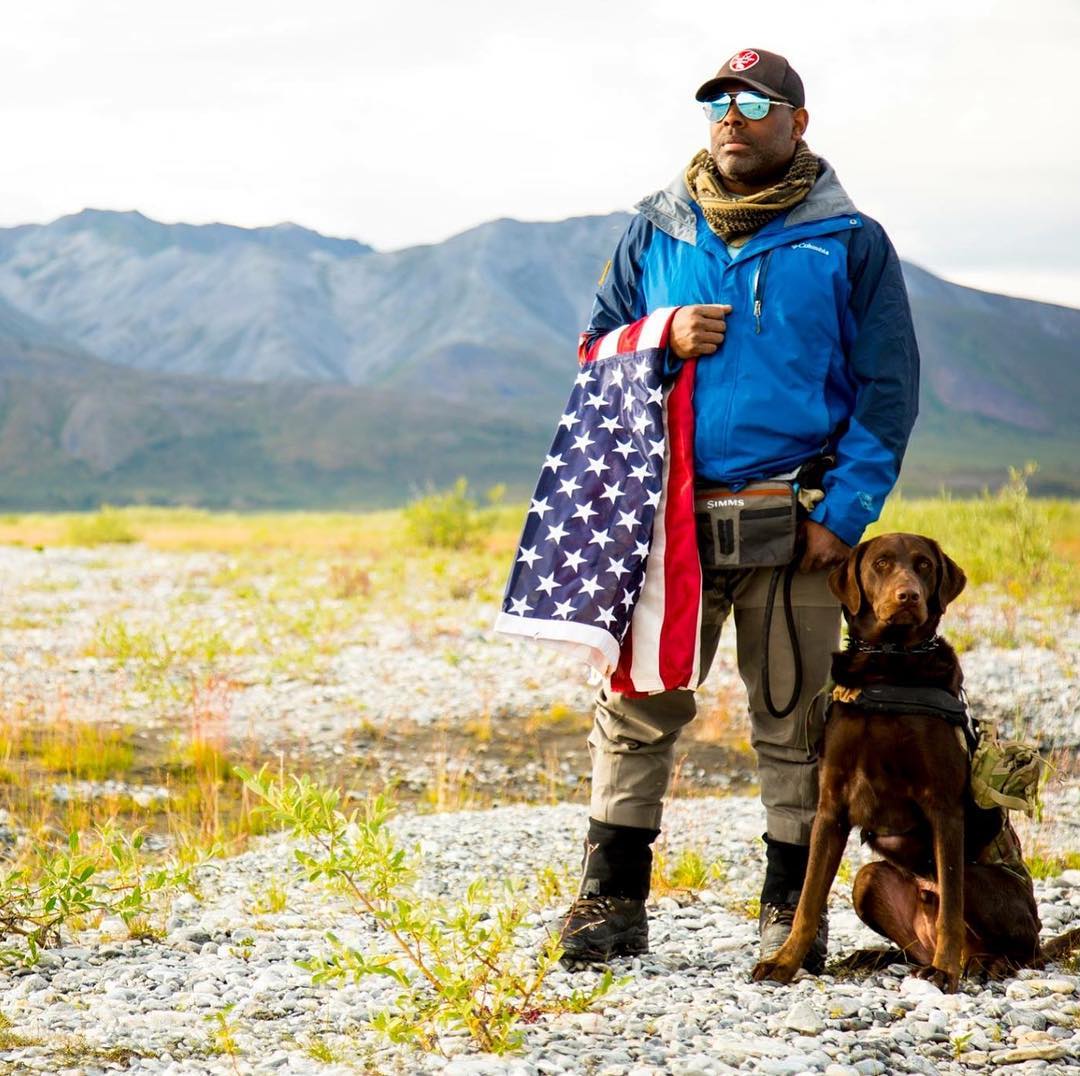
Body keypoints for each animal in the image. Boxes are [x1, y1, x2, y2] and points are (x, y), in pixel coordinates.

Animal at [751, 529, 1071, 993]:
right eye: (881, 563)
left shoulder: (944, 807)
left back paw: (980, 964)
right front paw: (783, 962)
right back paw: (876, 955)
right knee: (906, 937)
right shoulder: (830, 807)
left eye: (924, 565)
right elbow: (809, 899)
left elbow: (950, 910)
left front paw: (944, 972)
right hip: (868, 881)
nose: (909, 596)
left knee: (1013, 947)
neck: (890, 665)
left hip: (983, 888)